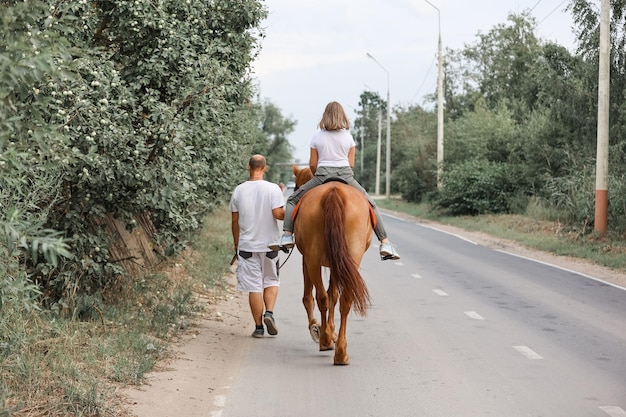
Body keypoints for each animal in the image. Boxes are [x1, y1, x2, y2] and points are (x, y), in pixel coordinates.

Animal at [292, 166, 372, 364]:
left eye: (296, 186)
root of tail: (333, 192)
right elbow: (333, 295)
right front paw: (327, 330)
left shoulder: (307, 260)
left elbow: (315, 296)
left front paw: (320, 328)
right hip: (349, 258)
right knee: (344, 299)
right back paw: (339, 351)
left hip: (314, 260)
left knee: (322, 297)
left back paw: (326, 341)